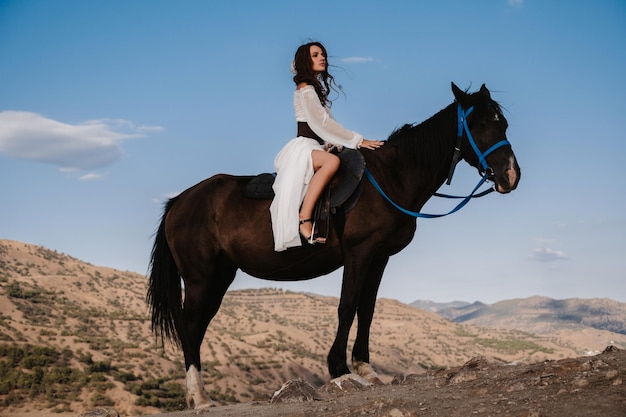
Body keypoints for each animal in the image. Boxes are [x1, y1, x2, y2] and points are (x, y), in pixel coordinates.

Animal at [147, 82, 520, 406]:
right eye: (481, 124)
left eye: (503, 123)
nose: (511, 176)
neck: (391, 178)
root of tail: (179, 201)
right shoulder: (359, 253)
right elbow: (346, 306)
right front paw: (339, 368)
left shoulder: (379, 258)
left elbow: (367, 310)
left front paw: (366, 369)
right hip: (200, 278)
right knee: (190, 325)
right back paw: (200, 398)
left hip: (220, 276)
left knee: (198, 326)